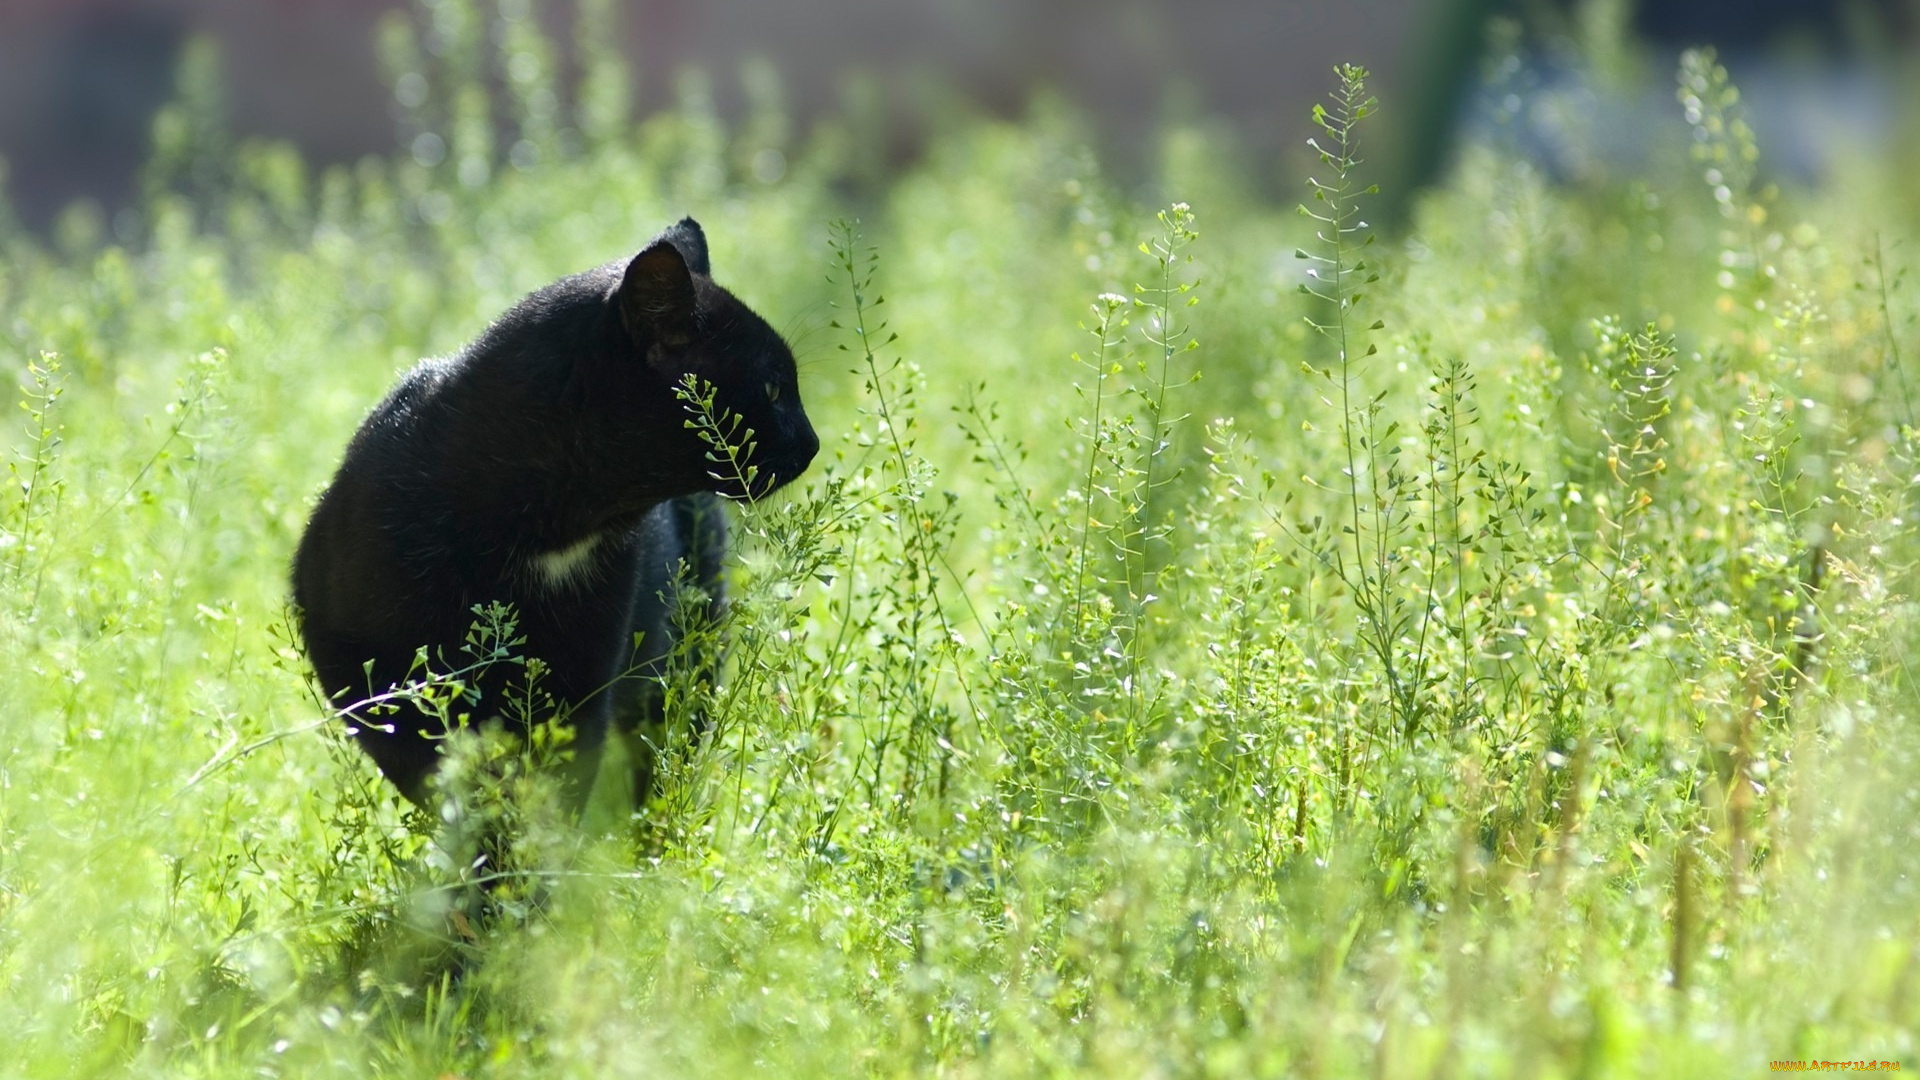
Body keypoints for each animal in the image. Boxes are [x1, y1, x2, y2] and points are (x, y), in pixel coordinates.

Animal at [291, 219, 817, 803]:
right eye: (772, 389)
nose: (812, 443)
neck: (553, 531)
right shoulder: (370, 681)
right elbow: (445, 785)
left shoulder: (578, 689)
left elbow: (553, 797)